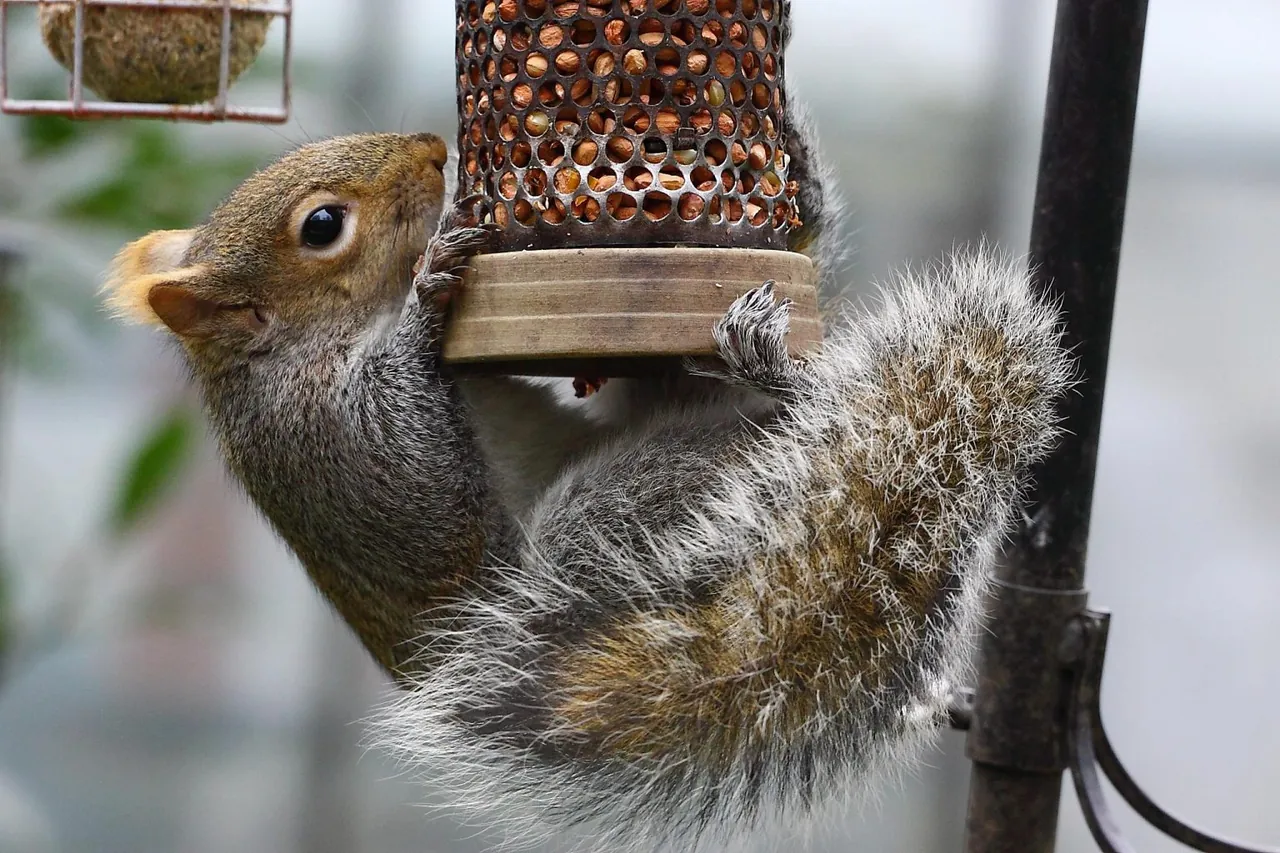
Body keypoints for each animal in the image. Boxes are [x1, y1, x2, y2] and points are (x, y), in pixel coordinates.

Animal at [101, 123, 1072, 850]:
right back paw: (788, 393)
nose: (430, 149)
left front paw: (789, 163)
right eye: (322, 226)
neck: (299, 349)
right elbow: (428, 478)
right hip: (617, 515)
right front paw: (426, 293)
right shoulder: (337, 446)